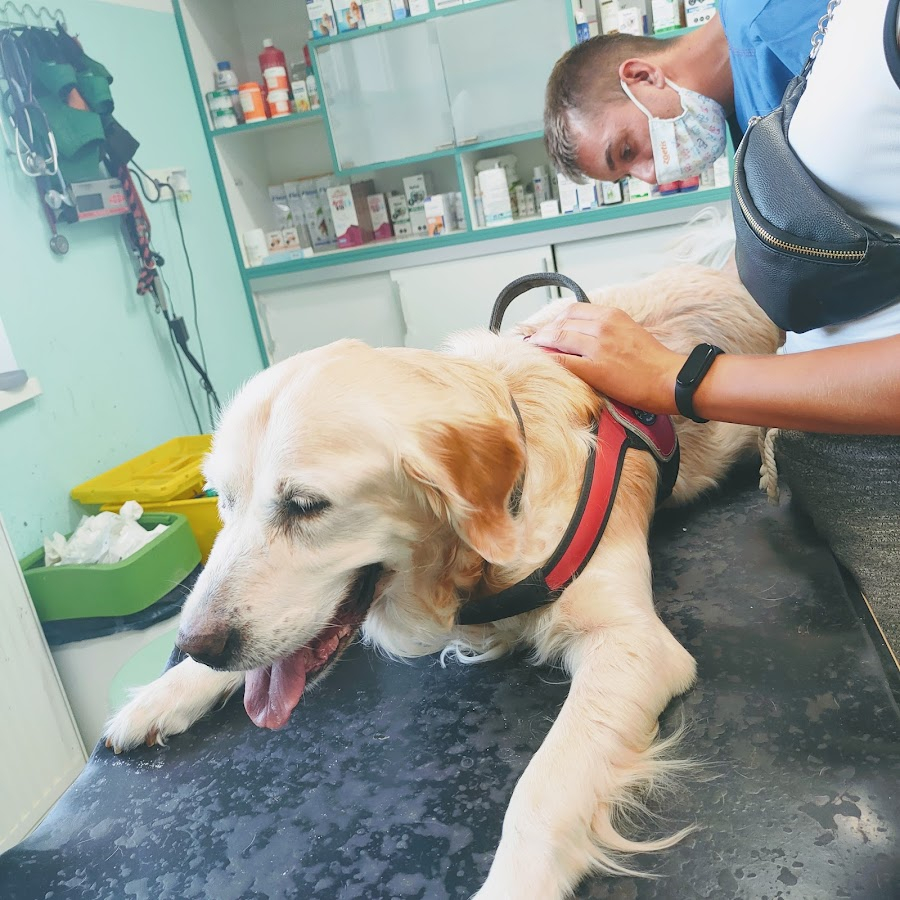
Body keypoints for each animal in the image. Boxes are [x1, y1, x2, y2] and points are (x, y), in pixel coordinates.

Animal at [105, 265, 780, 899]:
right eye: (222, 499)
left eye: (305, 505)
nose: (195, 643)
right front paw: (162, 694)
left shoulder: (630, 641)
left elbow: (542, 788)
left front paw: (511, 885)